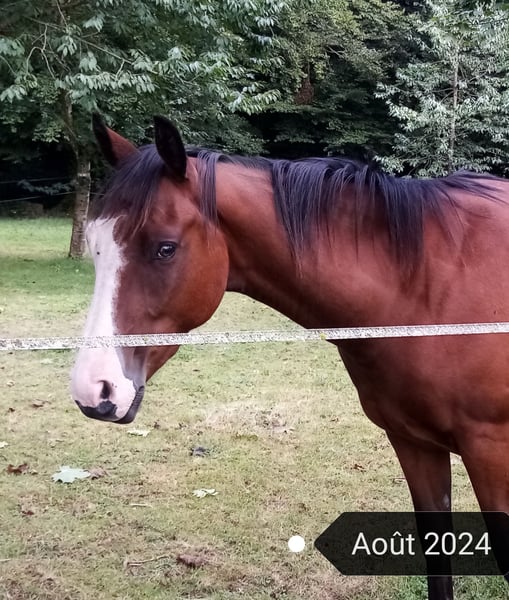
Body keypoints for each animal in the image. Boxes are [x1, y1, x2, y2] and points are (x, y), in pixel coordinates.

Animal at [71, 114, 509, 600]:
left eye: (165, 248)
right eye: (96, 247)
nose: (94, 389)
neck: (429, 289)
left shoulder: (492, 453)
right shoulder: (415, 444)